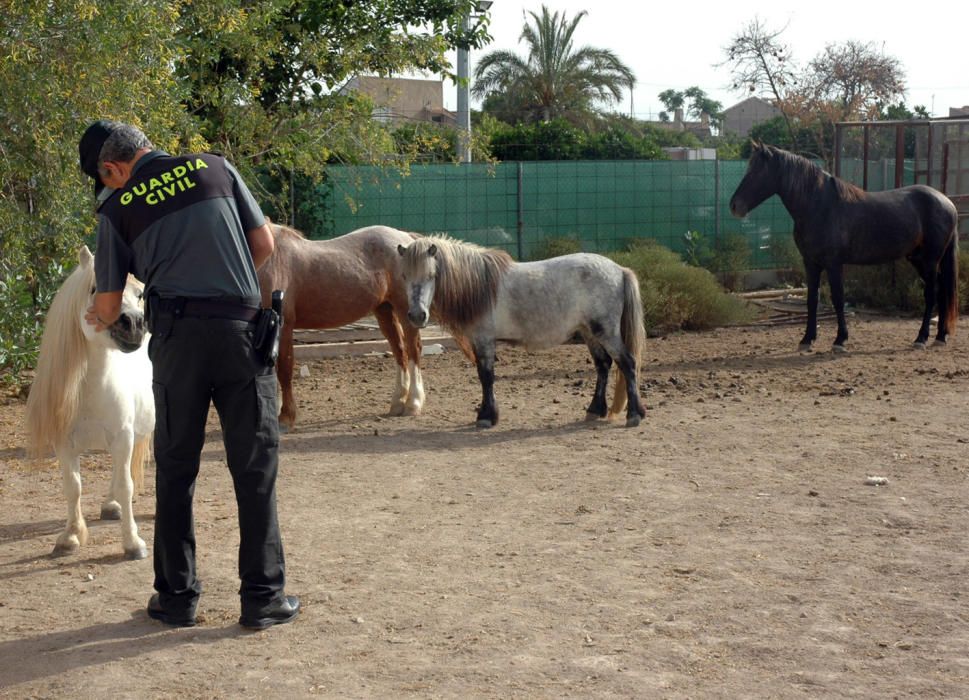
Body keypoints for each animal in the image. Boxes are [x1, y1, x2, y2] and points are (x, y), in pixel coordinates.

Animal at [24, 245, 153, 556]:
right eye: (96, 289)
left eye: (139, 293)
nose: (134, 325)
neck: (91, 390)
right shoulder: (64, 443)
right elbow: (73, 487)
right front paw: (70, 537)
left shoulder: (123, 437)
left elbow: (127, 486)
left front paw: (133, 543)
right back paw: (111, 506)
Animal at [258, 224, 424, 432]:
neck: (269, 258)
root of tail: (405, 237)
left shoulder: (284, 326)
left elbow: (284, 371)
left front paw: (286, 418)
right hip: (385, 311)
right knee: (400, 351)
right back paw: (397, 403)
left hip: (405, 310)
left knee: (413, 350)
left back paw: (413, 404)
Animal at [398, 237, 648, 426]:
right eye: (404, 276)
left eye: (431, 275)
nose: (418, 315)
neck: (480, 286)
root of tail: (619, 270)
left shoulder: (484, 340)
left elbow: (486, 376)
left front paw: (486, 417)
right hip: (589, 332)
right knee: (603, 365)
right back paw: (595, 410)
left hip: (606, 332)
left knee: (628, 363)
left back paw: (634, 415)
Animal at [728, 142, 956, 350]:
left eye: (758, 171)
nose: (734, 205)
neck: (819, 206)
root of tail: (947, 202)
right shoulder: (811, 263)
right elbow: (812, 299)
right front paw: (807, 339)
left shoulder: (834, 264)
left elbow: (838, 298)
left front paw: (840, 340)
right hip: (919, 259)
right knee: (942, 290)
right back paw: (940, 336)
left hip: (929, 261)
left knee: (932, 293)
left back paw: (921, 338)